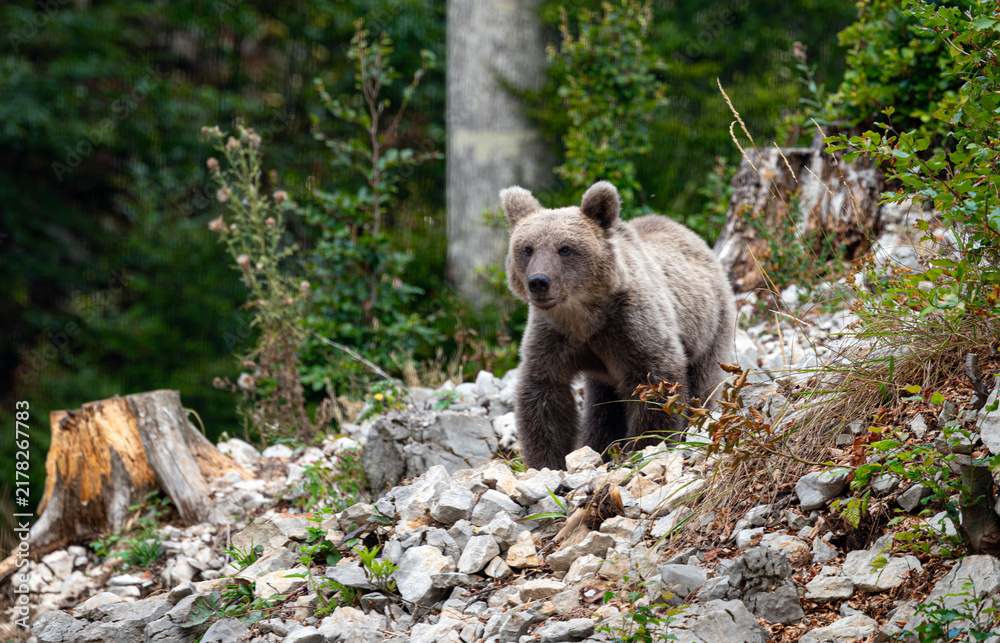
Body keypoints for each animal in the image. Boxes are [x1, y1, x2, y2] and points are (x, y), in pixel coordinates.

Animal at [500, 180, 735, 471]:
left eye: (565, 248)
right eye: (527, 248)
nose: (539, 281)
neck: (584, 315)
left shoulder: (629, 326)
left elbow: (655, 381)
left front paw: (646, 445)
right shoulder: (553, 336)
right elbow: (544, 393)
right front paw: (547, 461)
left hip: (710, 327)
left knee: (702, 385)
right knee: (604, 406)